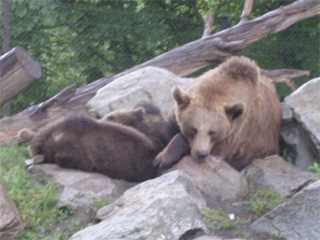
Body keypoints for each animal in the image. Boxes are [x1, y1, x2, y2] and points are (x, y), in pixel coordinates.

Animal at [154, 55, 282, 171]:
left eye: (213, 132)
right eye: (193, 129)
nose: (201, 153)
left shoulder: (235, 132)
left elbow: (218, 151)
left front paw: (163, 159)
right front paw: (161, 159)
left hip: (262, 146)